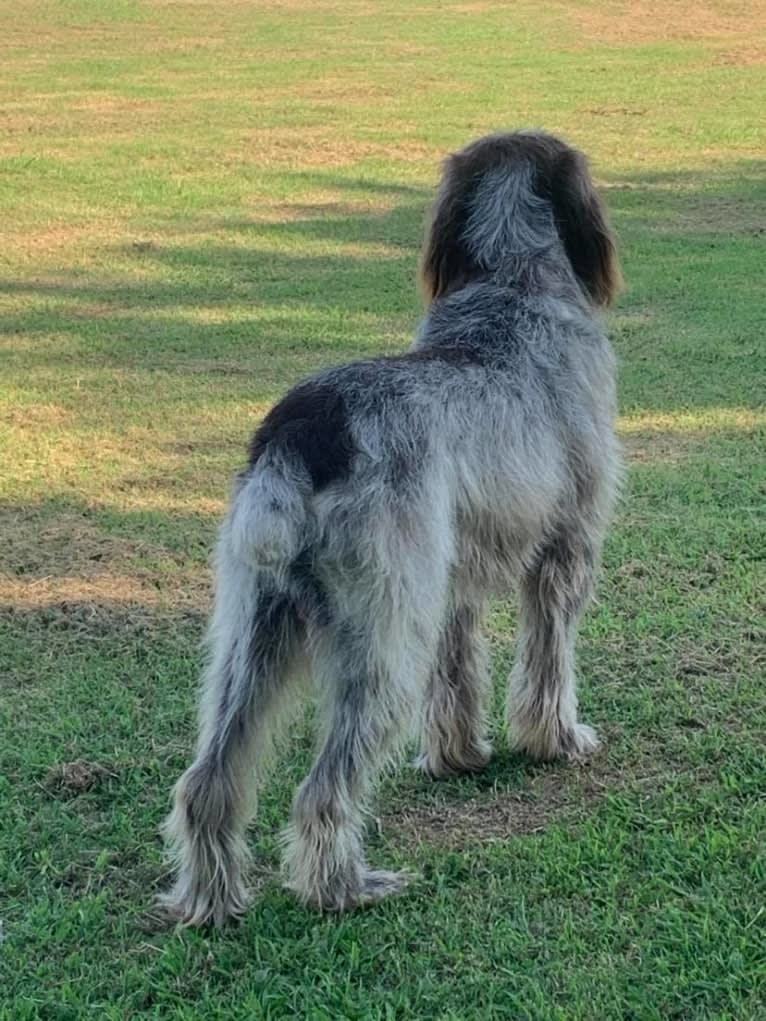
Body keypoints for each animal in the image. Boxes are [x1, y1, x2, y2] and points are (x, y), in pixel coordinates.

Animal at [162, 129, 625, 927]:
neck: (511, 285)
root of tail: (302, 435)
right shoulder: (565, 558)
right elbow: (548, 667)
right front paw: (556, 740)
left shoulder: (451, 588)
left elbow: (459, 677)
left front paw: (457, 756)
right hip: (379, 644)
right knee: (321, 789)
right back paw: (343, 886)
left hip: (253, 638)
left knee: (208, 780)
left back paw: (212, 901)